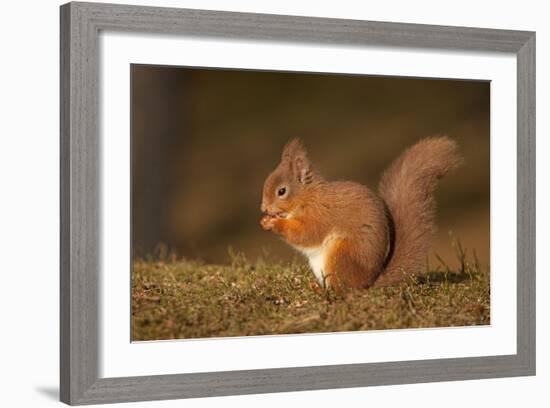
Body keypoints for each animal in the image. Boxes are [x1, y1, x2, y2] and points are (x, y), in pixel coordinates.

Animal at [260, 138, 464, 290]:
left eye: (281, 191)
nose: (264, 209)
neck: (307, 197)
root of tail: (368, 283)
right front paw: (265, 220)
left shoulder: (320, 215)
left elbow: (306, 234)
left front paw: (273, 223)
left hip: (341, 254)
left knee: (343, 290)